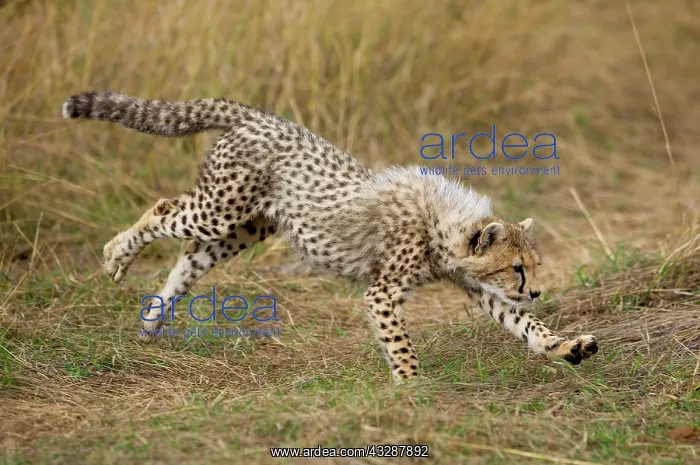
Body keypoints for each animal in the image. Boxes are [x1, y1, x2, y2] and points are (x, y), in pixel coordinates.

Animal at [61, 91, 598, 384]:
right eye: (517, 267)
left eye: (531, 268)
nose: (537, 290)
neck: (441, 222)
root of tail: (259, 116)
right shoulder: (383, 291)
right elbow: (400, 342)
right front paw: (412, 386)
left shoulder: (473, 284)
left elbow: (526, 324)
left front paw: (566, 347)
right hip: (218, 210)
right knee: (163, 210)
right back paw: (115, 256)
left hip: (244, 229)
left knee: (189, 259)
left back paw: (151, 323)